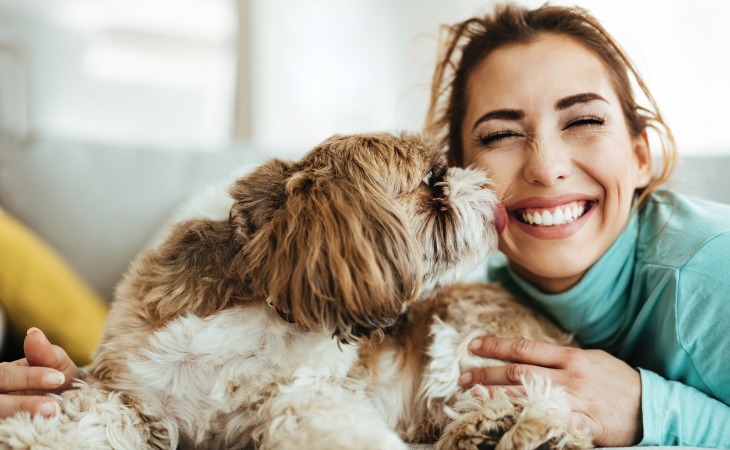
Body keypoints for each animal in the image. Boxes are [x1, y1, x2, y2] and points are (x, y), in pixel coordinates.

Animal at [0, 134, 588, 450]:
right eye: (431, 180)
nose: (488, 191)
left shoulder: (307, 394)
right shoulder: (127, 389)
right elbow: (82, 421)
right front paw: (31, 433)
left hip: (464, 337)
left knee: (546, 399)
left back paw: (520, 427)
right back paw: (483, 431)